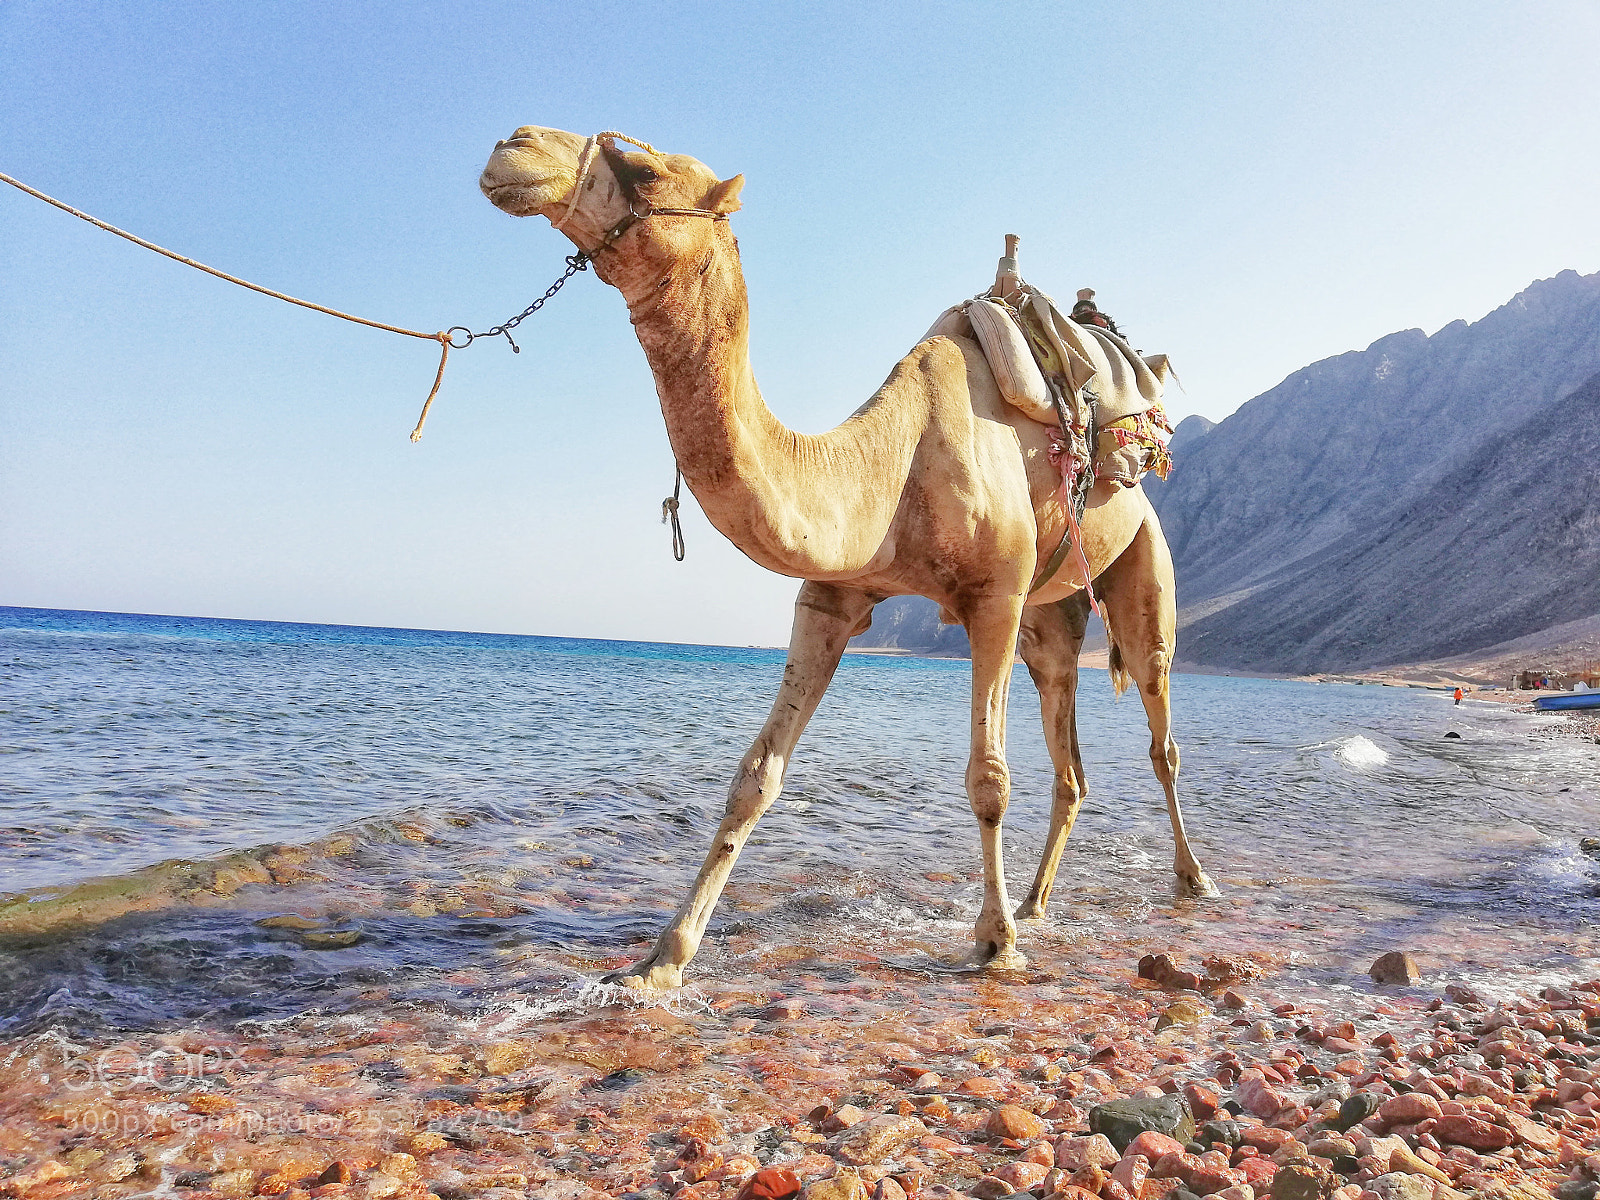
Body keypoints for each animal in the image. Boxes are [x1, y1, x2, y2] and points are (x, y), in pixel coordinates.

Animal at [477, 127, 1217, 990]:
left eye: (649, 168)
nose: (515, 146)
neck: (892, 466)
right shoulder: (829, 598)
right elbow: (754, 778)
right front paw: (663, 958)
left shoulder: (993, 597)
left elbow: (988, 779)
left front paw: (993, 942)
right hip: (1050, 619)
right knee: (1070, 761)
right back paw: (1037, 902)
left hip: (1139, 570)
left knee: (1160, 730)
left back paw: (1189, 878)